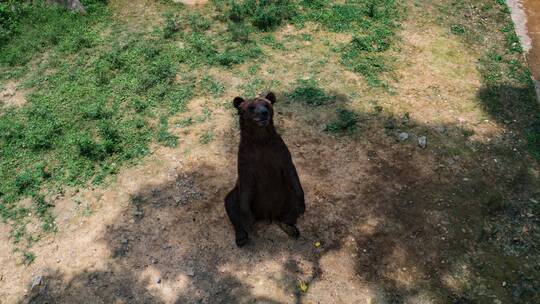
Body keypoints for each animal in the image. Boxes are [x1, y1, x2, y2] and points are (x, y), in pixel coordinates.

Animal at [226, 91, 306, 246]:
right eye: (251, 107)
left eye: (267, 105)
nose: (264, 113)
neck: (260, 139)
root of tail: (268, 214)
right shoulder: (246, 161)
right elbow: (245, 187)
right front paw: (248, 220)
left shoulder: (280, 154)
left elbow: (292, 175)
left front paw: (302, 206)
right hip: (243, 196)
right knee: (230, 202)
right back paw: (242, 235)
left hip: (285, 194)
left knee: (291, 204)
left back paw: (289, 227)